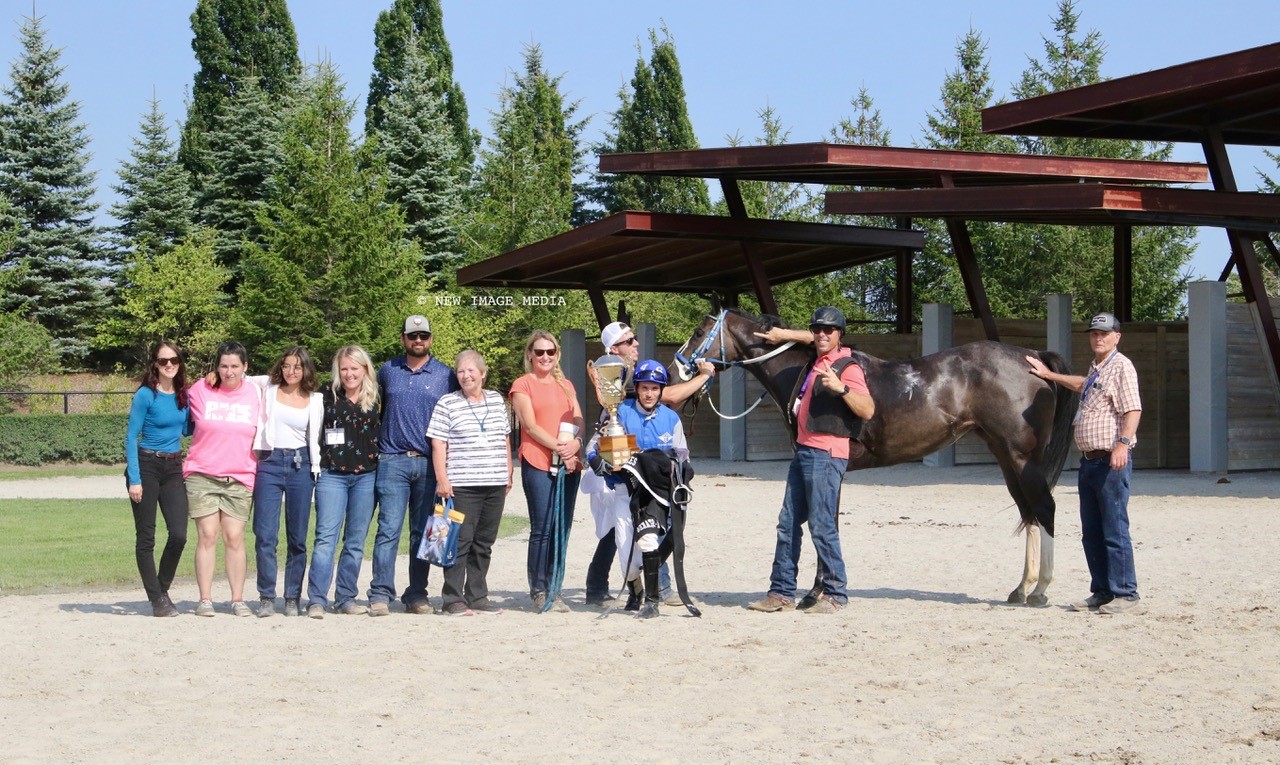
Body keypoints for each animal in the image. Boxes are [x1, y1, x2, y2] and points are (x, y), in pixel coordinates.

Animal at [680, 310, 1080, 606]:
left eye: (700, 330)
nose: (681, 365)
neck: (811, 373)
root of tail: (1034, 359)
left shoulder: (826, 468)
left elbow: (824, 524)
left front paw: (816, 593)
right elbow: (825, 523)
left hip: (1023, 458)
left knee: (1044, 509)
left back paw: (1041, 590)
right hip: (1006, 458)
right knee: (1028, 512)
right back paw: (1021, 588)